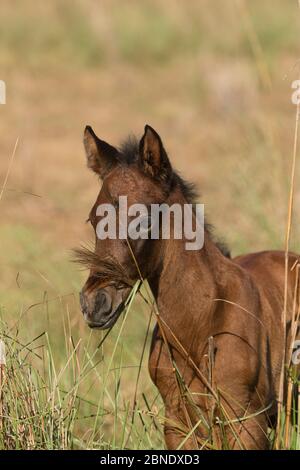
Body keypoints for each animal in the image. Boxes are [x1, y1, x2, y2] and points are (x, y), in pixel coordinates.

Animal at [78, 124, 300, 448]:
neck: (200, 325)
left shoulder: (247, 422)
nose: (95, 303)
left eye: (143, 221)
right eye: (93, 219)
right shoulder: (178, 423)